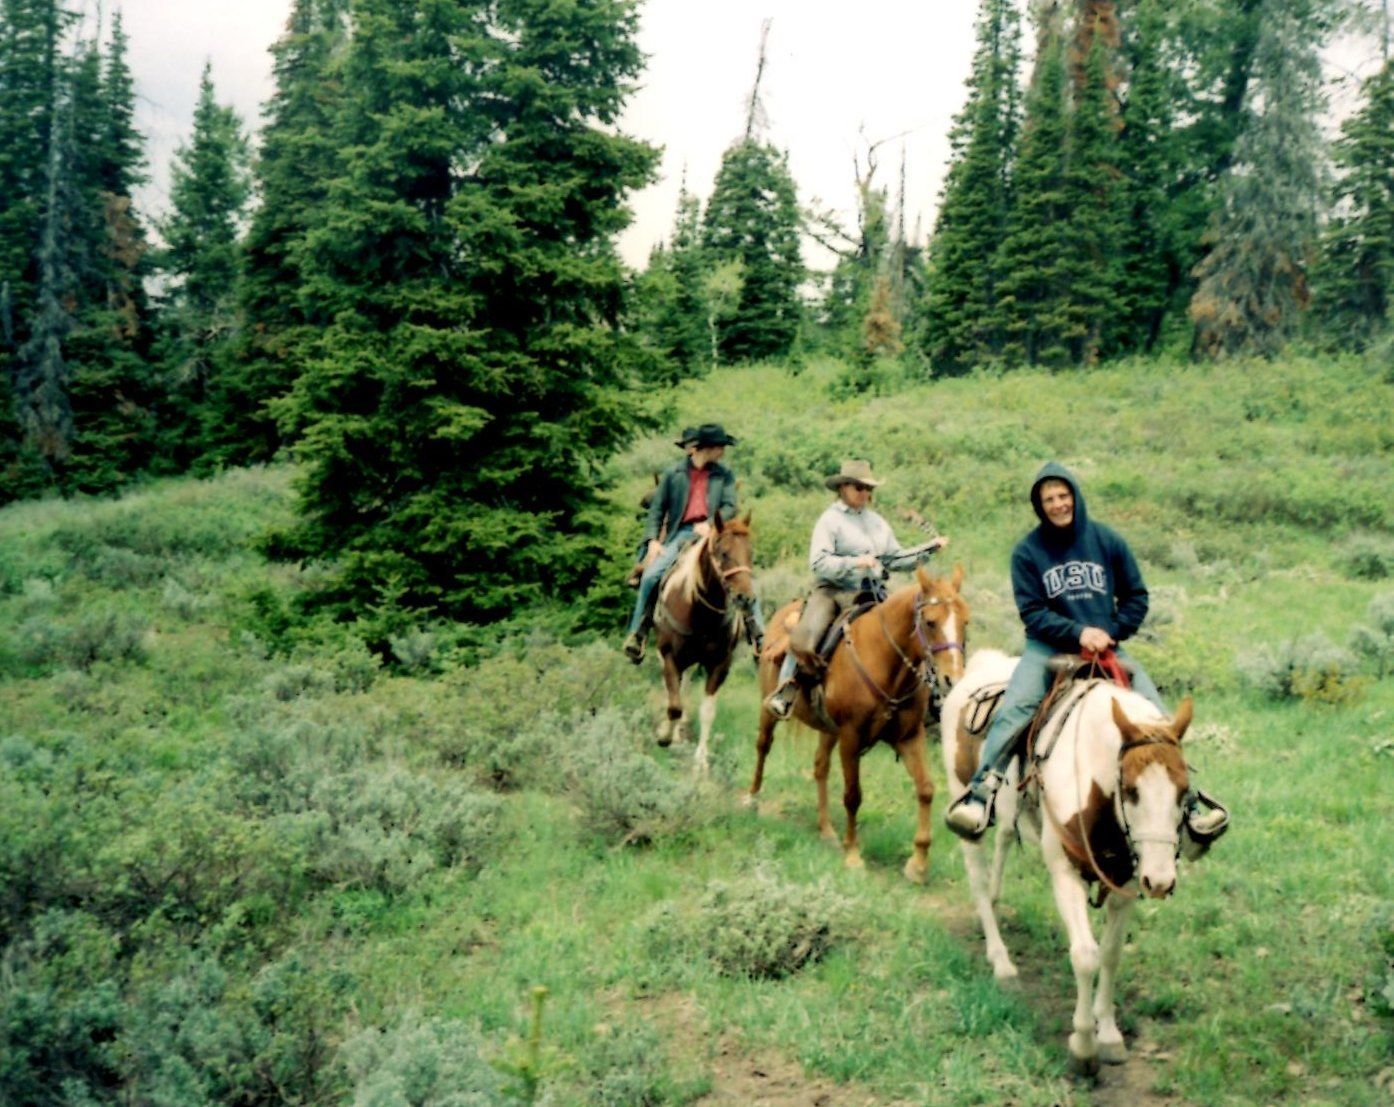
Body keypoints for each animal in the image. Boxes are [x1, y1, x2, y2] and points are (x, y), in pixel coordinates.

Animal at [649, 510, 752, 769]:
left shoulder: (720, 664)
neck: (700, 613)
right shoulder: (669, 656)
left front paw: (701, 758)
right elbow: (674, 705)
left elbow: (707, 710)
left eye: (751, 552)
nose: (745, 598)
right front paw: (665, 737)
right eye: (723, 553)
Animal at [752, 560, 970, 881]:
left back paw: (826, 830)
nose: (952, 680)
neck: (886, 661)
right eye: (930, 622)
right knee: (763, 746)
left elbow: (926, 789)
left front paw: (918, 863)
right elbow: (853, 795)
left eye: (965, 621)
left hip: (828, 729)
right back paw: (752, 799)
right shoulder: (851, 737)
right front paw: (853, 855)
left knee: (820, 767)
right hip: (769, 709)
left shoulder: (908, 737)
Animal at [942, 646, 1193, 1070]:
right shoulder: (1065, 874)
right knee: (977, 878)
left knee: (1004, 838)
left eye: (1184, 791)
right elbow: (1086, 955)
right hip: (964, 809)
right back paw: (1001, 961)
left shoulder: (1125, 881)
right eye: (1131, 789)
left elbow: (1110, 954)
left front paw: (1108, 1034)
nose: (1160, 881)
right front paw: (1084, 1044)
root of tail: (978, 665)